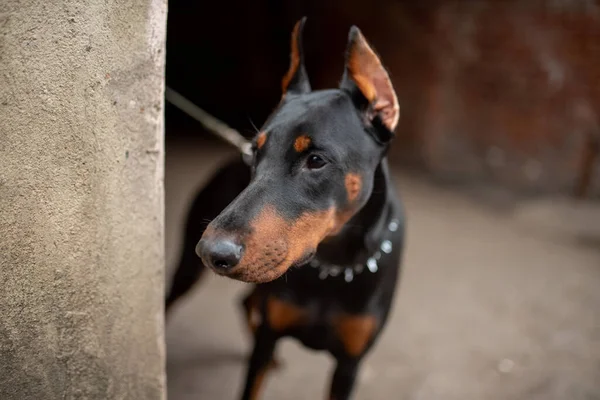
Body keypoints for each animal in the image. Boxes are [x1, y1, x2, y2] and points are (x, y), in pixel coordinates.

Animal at [166, 17, 406, 398]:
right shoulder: (268, 338)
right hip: (188, 272)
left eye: (316, 160)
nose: (211, 251)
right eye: (254, 152)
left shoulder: (349, 364)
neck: (333, 267)